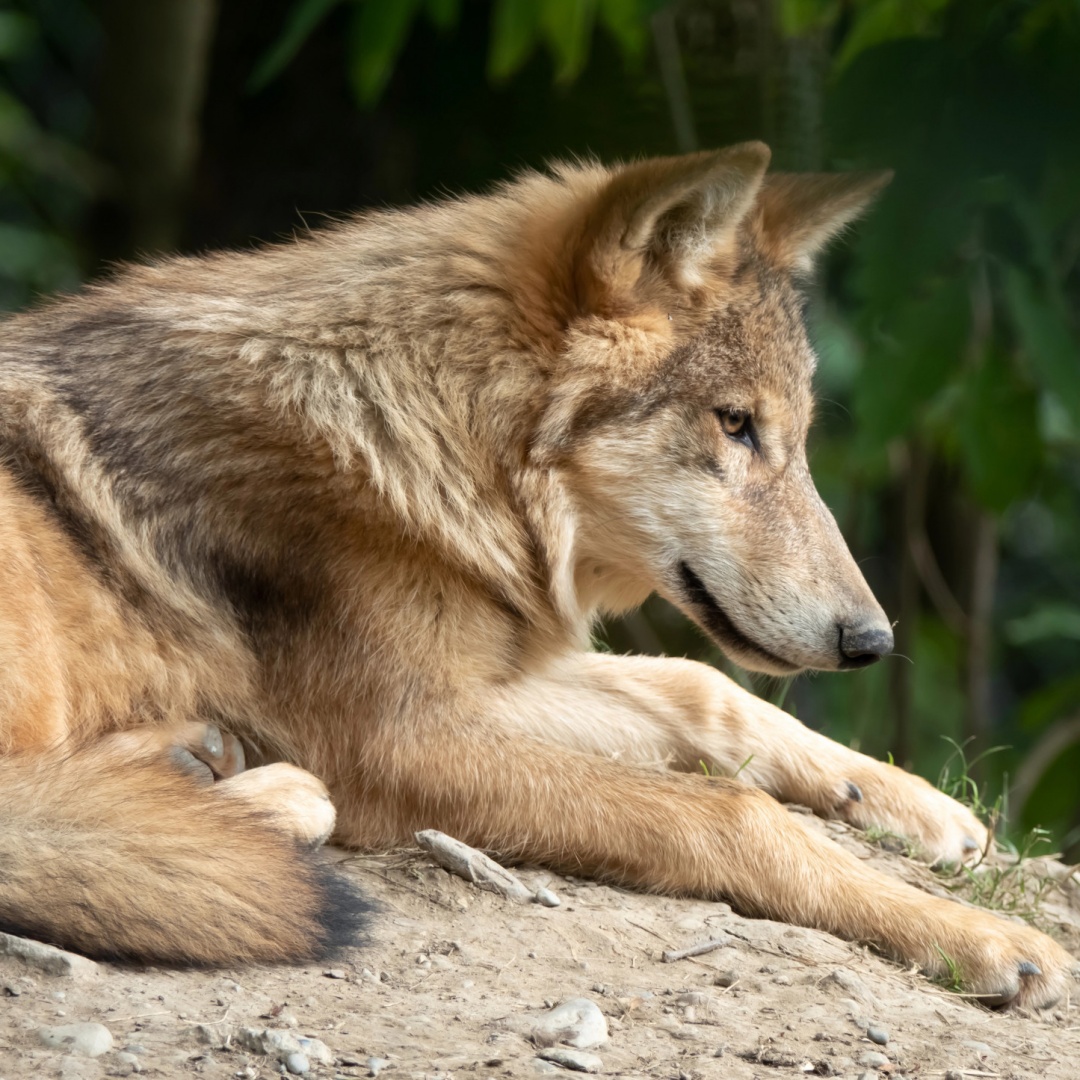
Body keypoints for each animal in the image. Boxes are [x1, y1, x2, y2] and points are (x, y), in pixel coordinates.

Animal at [0, 142, 1073, 1004]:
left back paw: (195, 765)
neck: (425, 442)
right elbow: (729, 811)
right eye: (735, 424)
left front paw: (921, 807)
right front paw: (982, 936)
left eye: (799, 437)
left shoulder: (483, 682)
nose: (873, 641)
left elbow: (705, 691)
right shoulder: (399, 741)